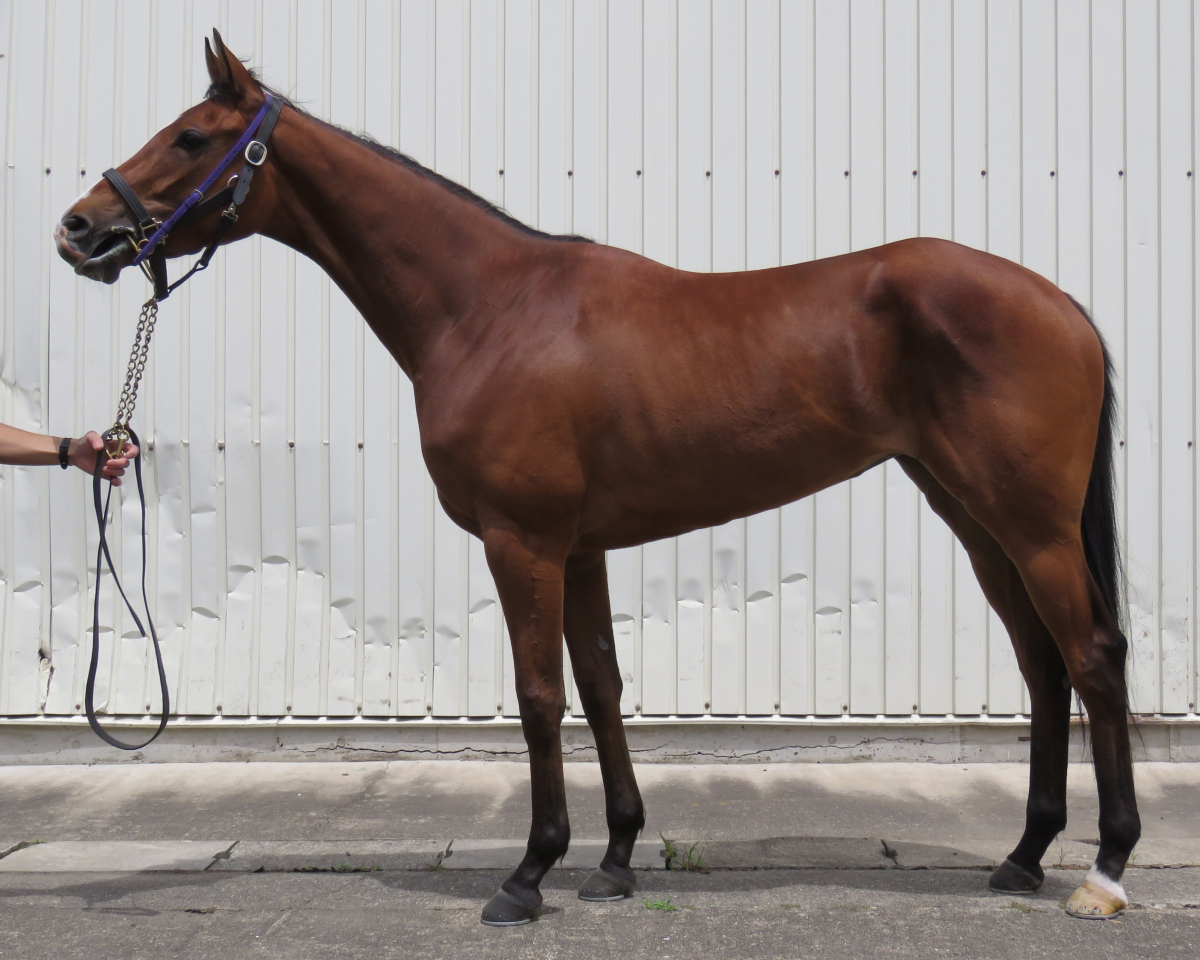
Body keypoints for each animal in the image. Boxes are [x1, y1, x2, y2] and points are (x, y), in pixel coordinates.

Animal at [55, 31, 1139, 924]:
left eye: (192, 137)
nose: (78, 229)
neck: (490, 307)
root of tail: (1067, 306)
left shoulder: (522, 541)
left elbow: (540, 694)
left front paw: (529, 875)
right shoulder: (579, 549)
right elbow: (604, 686)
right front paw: (614, 858)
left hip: (1028, 523)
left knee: (1090, 656)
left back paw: (1104, 870)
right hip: (974, 516)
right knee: (1043, 665)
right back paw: (1023, 856)